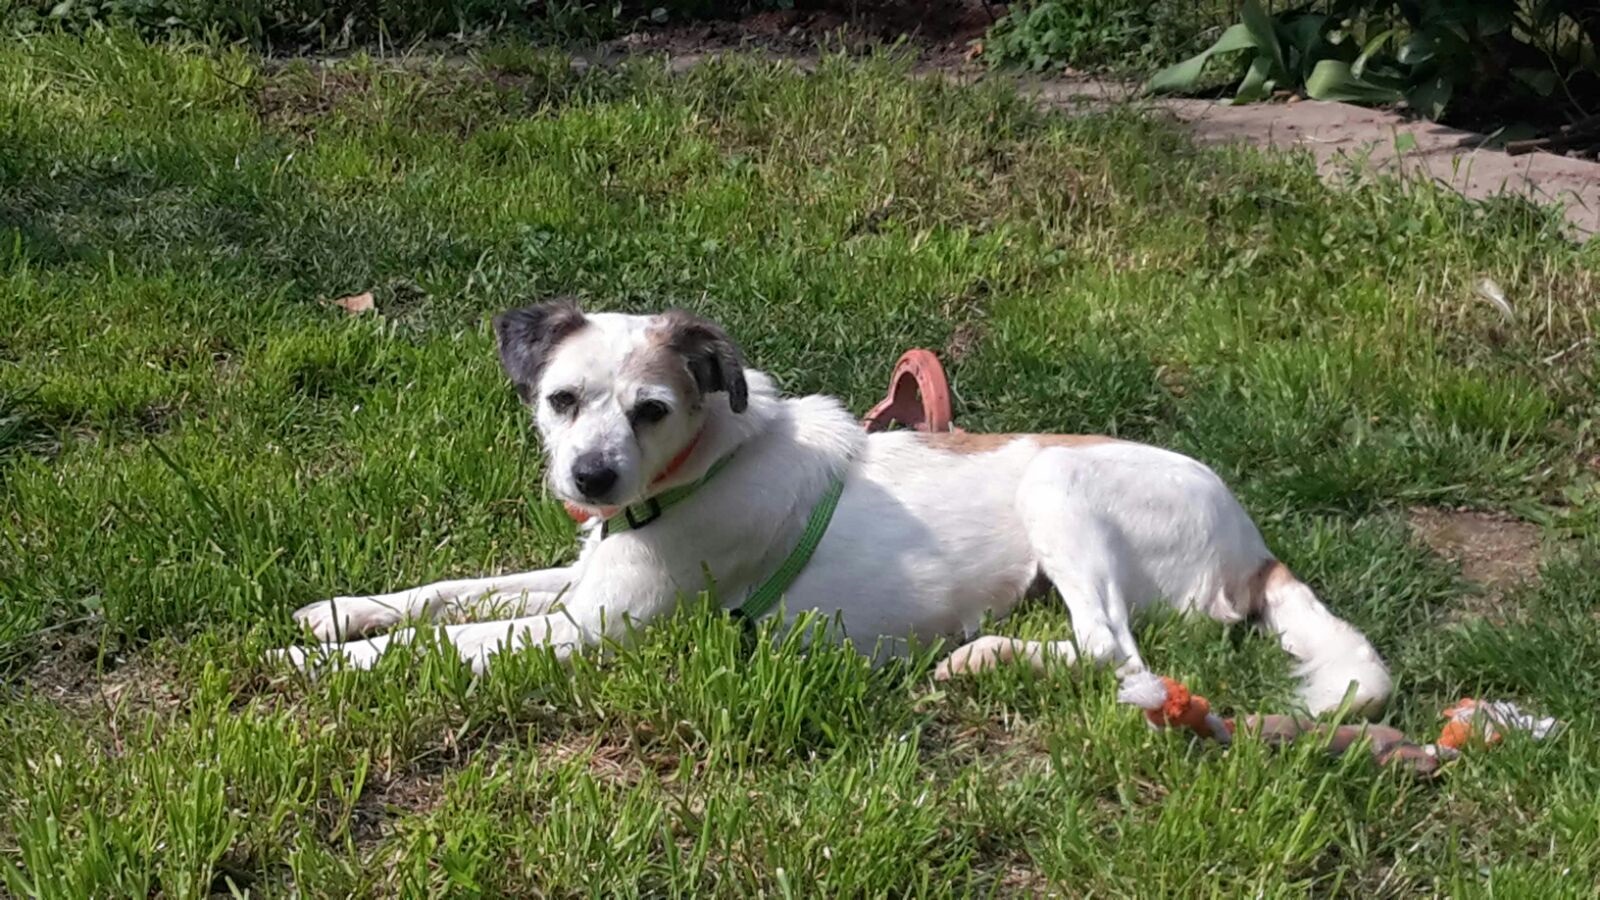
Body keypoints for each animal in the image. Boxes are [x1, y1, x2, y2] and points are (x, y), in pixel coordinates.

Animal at [277, 300, 1391, 715]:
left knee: (1121, 659)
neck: (703, 467)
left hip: (1058, 487)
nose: (589, 482)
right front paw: (337, 614)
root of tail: (1254, 544)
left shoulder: (590, 629)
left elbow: (447, 642)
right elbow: (448, 592)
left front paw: (312, 664)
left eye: (650, 409)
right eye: (562, 400)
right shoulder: (577, 577)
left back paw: (983, 658)